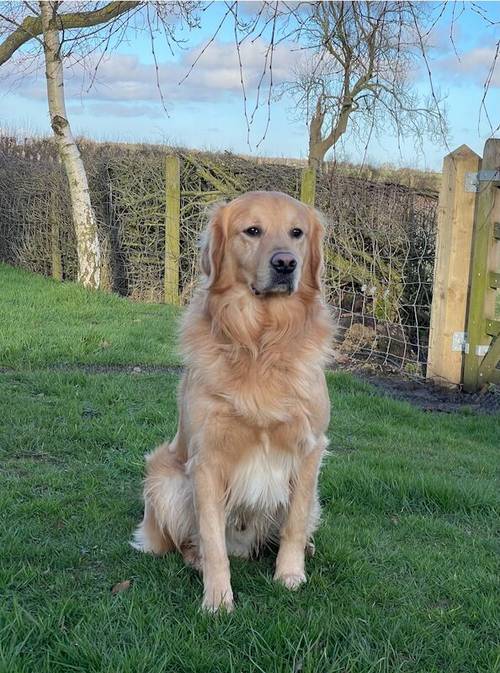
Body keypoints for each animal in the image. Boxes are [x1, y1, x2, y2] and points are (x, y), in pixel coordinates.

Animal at [133, 189, 336, 608]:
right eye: (252, 231)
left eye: (296, 233)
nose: (285, 263)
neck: (261, 343)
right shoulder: (208, 460)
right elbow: (212, 541)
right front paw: (217, 599)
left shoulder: (310, 450)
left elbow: (293, 524)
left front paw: (289, 575)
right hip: (165, 480)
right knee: (189, 541)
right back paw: (195, 559)